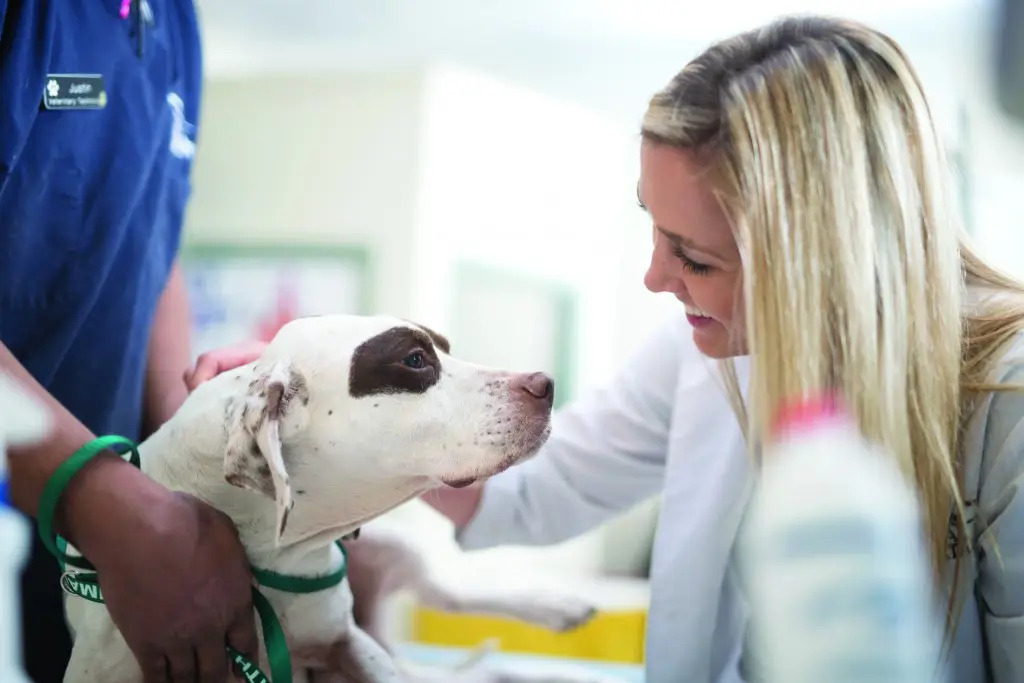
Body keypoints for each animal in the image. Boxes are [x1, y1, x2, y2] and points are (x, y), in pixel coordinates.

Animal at [61, 315, 598, 683]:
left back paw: (555, 609)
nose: (545, 385)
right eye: (415, 360)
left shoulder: (350, 643)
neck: (266, 551)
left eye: (446, 349)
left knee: (447, 595)